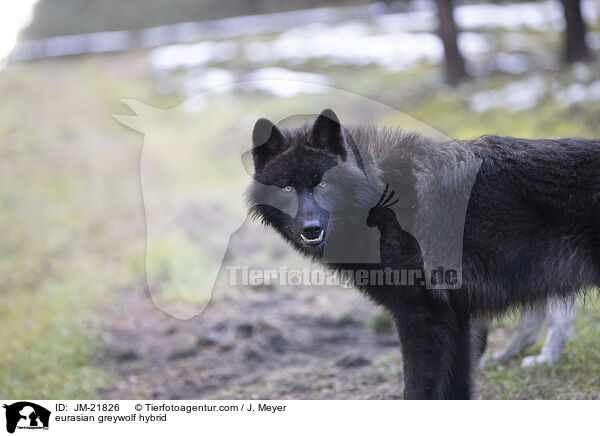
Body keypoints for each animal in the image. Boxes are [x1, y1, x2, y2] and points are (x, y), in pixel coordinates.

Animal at [245, 108, 600, 398]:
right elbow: (456, 392)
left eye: (322, 184)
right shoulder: (457, 318)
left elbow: (417, 391)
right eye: (288, 188)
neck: (377, 200)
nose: (311, 229)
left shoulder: (422, 316)